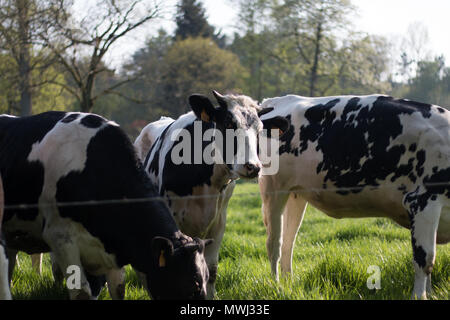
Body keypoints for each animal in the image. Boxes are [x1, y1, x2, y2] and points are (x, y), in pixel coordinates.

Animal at [0, 110, 211, 300]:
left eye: (207, 278)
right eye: (193, 284)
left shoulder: (112, 249)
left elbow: (118, 289)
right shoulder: (61, 238)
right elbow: (82, 293)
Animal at [258, 95, 450, 300]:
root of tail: (274, 102)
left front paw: (431, 293)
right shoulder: (422, 201)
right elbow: (425, 259)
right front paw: (420, 296)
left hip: (295, 194)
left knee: (288, 242)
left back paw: (289, 285)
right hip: (273, 190)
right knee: (274, 245)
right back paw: (277, 286)